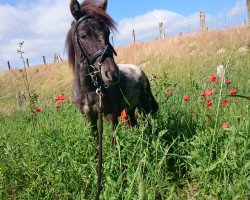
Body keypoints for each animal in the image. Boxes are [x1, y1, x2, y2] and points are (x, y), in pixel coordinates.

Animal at [65, 0, 157, 131]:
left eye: (107, 33)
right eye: (83, 36)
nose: (112, 73)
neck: (88, 89)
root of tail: (139, 70)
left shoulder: (110, 115)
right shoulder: (88, 118)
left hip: (144, 107)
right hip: (130, 110)